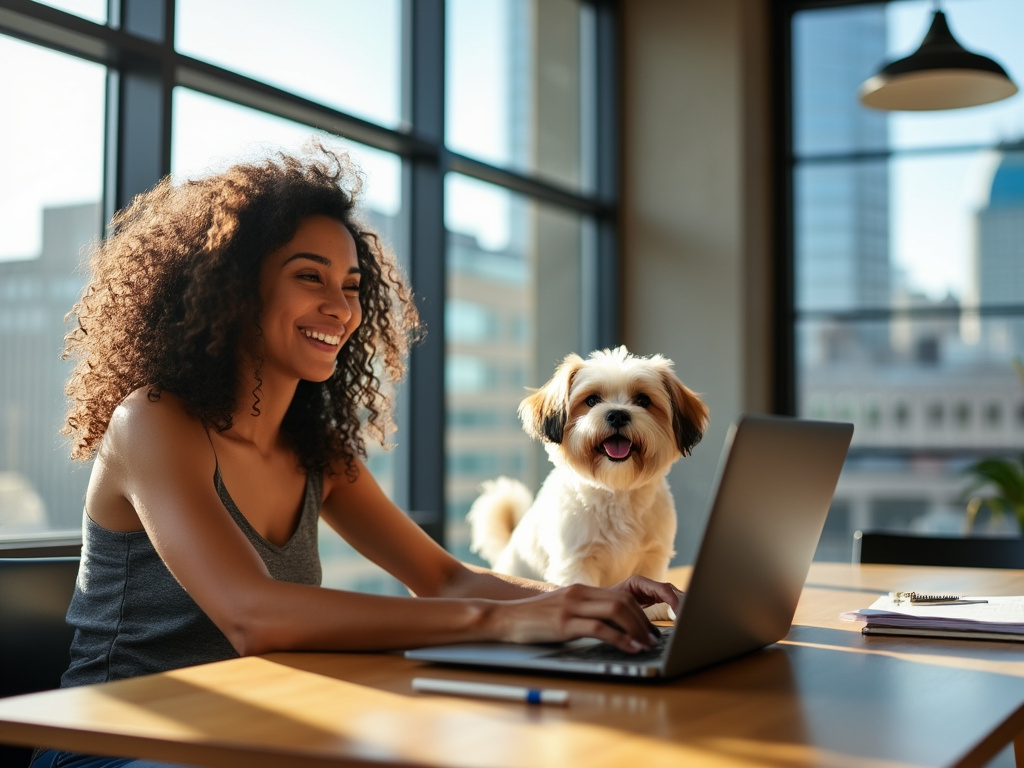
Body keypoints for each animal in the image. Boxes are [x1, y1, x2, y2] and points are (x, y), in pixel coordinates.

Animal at [468, 346, 708, 622]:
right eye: (592, 400)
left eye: (643, 400)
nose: (617, 414)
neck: (616, 491)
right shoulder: (575, 561)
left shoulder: (652, 556)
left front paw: (656, 609)